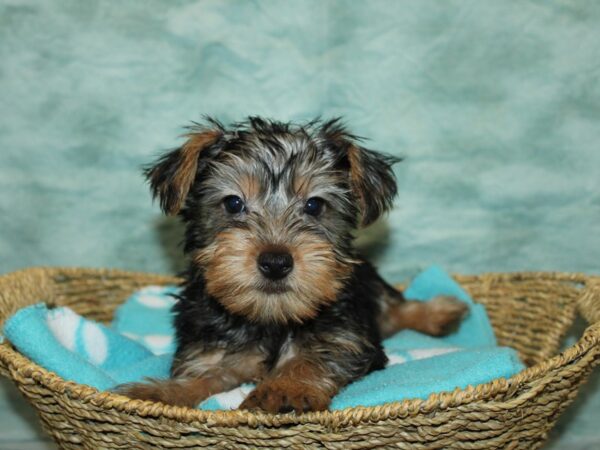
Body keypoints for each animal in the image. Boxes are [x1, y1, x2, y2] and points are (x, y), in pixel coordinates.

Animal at [119, 118, 466, 414]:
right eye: (233, 203)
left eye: (314, 205)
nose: (275, 262)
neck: (271, 317)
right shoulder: (210, 348)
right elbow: (201, 376)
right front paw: (157, 394)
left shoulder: (346, 337)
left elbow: (314, 357)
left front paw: (285, 388)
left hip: (368, 281)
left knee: (396, 307)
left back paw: (441, 313)